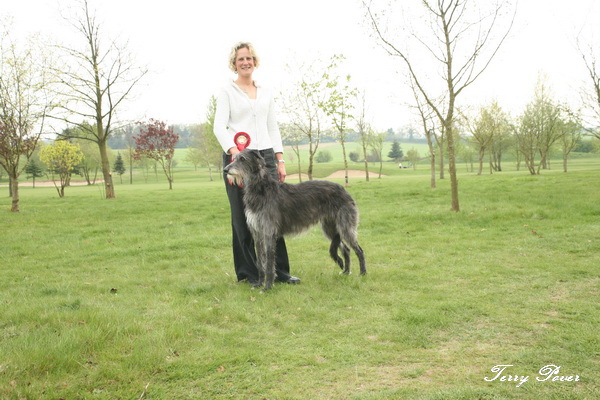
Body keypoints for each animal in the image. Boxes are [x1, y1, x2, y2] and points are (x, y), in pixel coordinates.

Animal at [224, 150, 368, 290]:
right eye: (234, 158)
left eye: (242, 159)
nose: (225, 170)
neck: (261, 189)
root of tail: (344, 189)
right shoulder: (257, 233)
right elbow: (260, 262)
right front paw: (259, 283)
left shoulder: (268, 232)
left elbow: (269, 262)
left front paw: (267, 287)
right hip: (330, 228)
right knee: (346, 249)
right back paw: (346, 272)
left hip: (345, 225)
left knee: (359, 250)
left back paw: (363, 273)